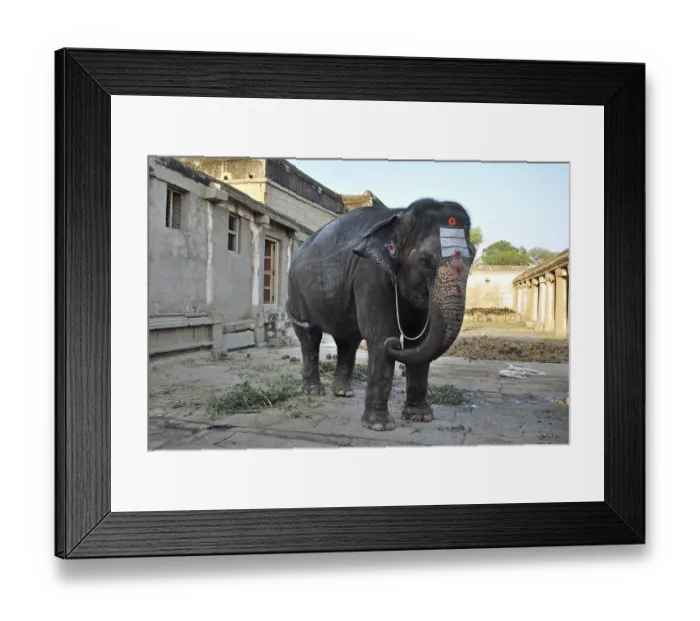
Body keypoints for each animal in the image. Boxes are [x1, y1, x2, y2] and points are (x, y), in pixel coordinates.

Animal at [285, 198, 475, 431]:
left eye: (472, 257)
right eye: (424, 260)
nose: (396, 345)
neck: (399, 216)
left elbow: (419, 340)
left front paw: (420, 417)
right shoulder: (369, 273)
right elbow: (381, 334)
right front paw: (379, 426)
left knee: (346, 340)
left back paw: (343, 393)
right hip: (295, 290)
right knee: (310, 336)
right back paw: (313, 391)